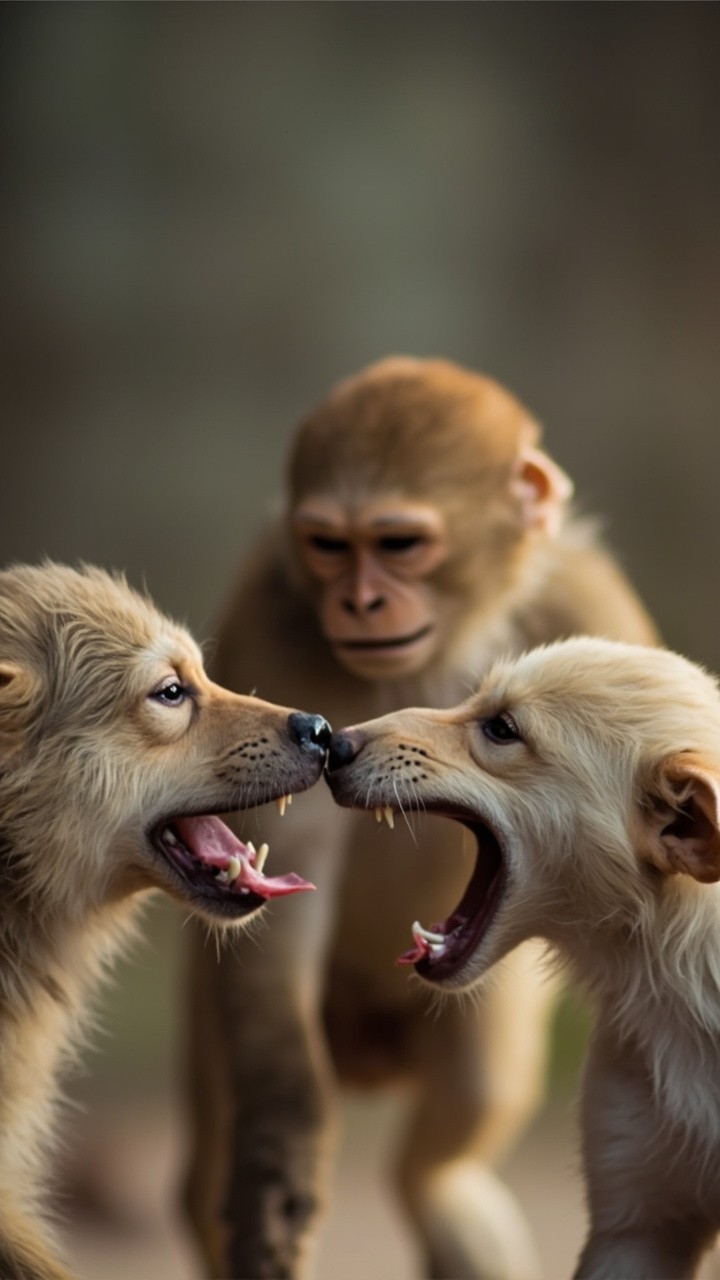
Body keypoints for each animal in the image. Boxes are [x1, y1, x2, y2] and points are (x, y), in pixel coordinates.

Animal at [184, 356, 658, 1280]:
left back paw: (440, 1192)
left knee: (472, 1091)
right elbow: (274, 862)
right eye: (331, 546)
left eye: (399, 544)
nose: (361, 602)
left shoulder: (589, 607)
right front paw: (279, 1157)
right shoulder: (276, 612)